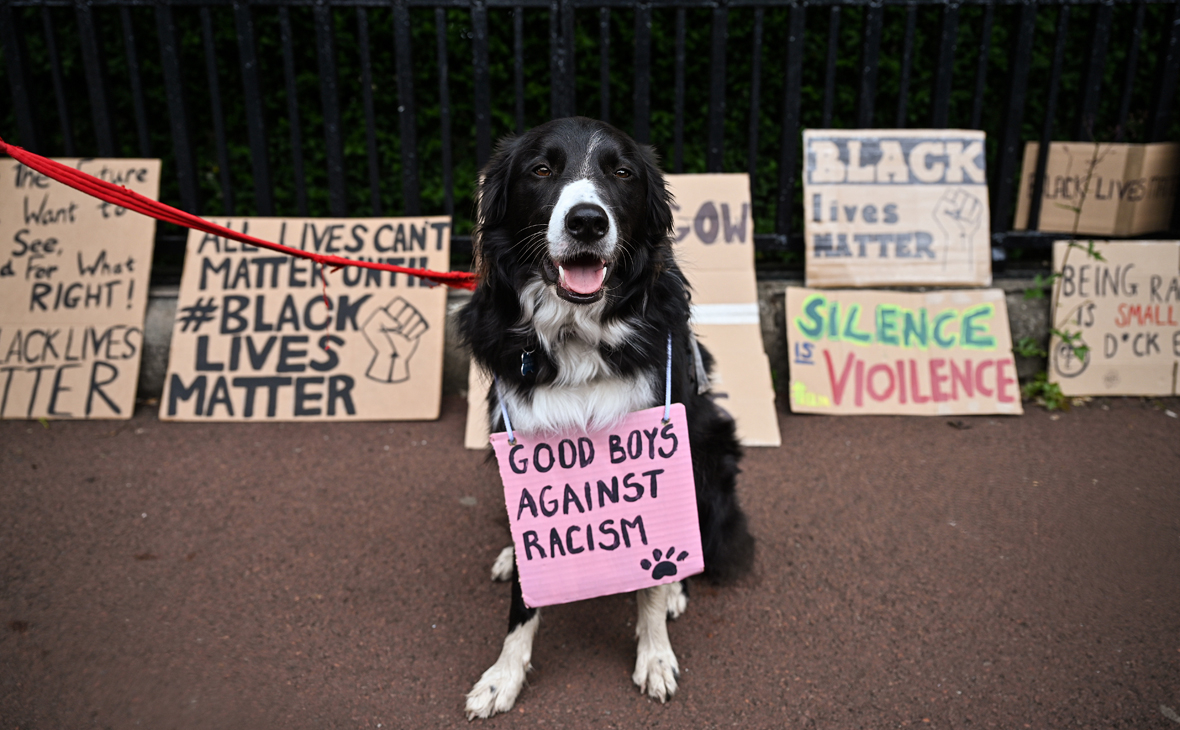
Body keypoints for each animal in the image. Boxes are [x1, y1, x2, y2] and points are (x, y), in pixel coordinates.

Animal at [455, 115, 750, 721]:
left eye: (622, 172)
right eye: (542, 169)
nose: (587, 221)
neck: (577, 332)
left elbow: (651, 587)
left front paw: (656, 652)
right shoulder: (522, 450)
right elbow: (523, 600)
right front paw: (502, 677)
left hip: (711, 444)